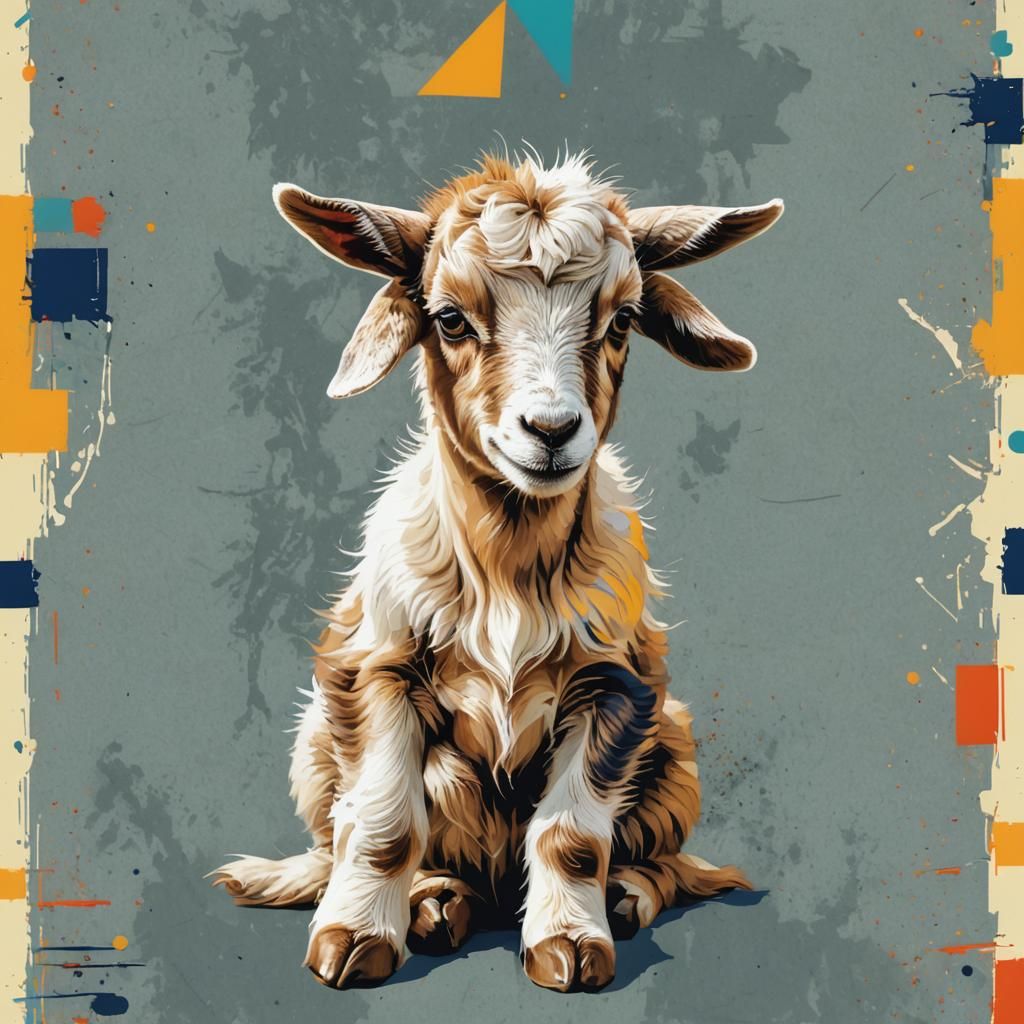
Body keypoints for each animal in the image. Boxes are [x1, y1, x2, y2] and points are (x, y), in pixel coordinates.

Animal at [212, 152, 782, 992]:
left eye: (621, 321)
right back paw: (433, 901)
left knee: (665, 858)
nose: (550, 430)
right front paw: (353, 939)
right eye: (450, 319)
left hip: (675, 753)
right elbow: (382, 822)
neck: (509, 571)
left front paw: (571, 945)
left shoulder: (618, 688)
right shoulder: (372, 669)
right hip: (314, 740)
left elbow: (572, 834)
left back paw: (625, 897)